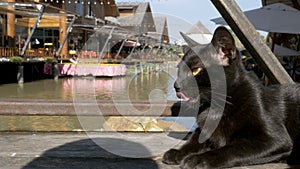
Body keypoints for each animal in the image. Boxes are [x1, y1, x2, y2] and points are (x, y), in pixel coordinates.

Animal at [163, 26, 300, 168]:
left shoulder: (276, 139)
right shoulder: (202, 130)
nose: (176, 85)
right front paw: (178, 152)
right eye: (179, 70)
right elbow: (194, 139)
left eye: (196, 70)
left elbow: (234, 147)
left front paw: (199, 159)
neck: (216, 106)